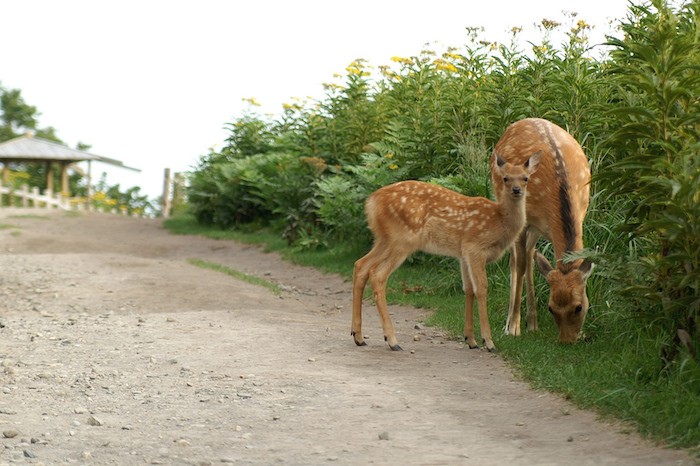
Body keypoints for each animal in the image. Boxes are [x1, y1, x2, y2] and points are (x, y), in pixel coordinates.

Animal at [356, 151, 540, 352]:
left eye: (526, 178)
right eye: (505, 178)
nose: (516, 190)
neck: (499, 221)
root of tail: (371, 202)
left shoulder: (463, 254)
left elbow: (468, 289)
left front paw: (471, 340)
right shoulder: (475, 247)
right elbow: (482, 289)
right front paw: (488, 342)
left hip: (383, 239)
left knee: (361, 265)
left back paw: (358, 336)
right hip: (402, 239)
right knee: (378, 274)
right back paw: (392, 340)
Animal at [490, 116, 592, 342]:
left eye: (579, 307)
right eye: (551, 308)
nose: (567, 341)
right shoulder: (524, 220)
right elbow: (518, 266)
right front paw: (513, 328)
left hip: (536, 229)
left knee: (530, 255)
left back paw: (533, 323)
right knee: (516, 260)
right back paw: (513, 322)